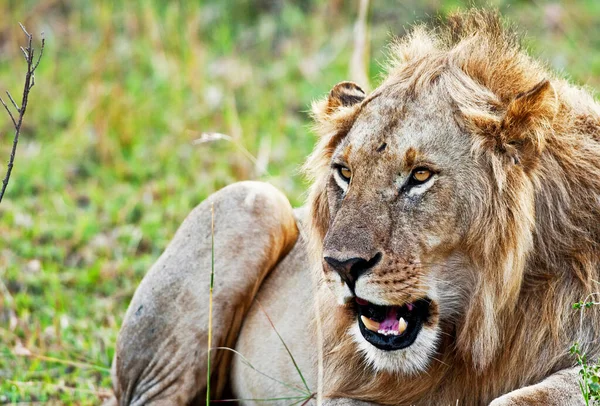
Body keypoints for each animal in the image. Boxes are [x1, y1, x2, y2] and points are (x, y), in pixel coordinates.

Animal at [109, 9, 600, 406]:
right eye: (345, 172)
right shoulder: (339, 391)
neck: (490, 318)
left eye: (420, 175)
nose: (342, 266)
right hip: (250, 201)